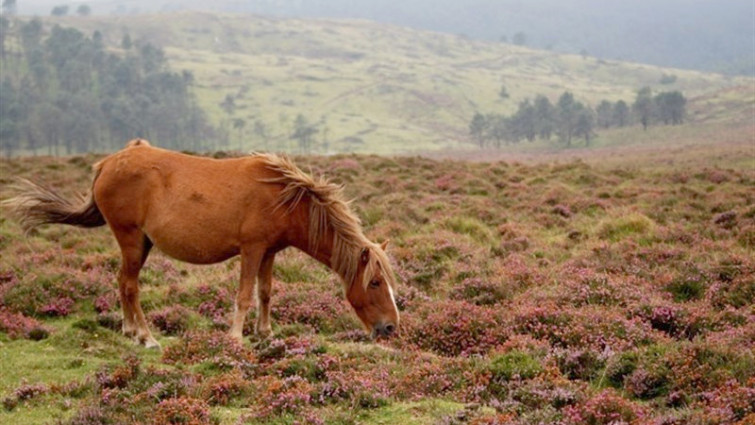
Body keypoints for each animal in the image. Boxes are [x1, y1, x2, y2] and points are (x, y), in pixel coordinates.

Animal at [4, 139, 402, 348]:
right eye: (375, 282)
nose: (390, 328)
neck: (284, 197)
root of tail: (107, 164)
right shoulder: (251, 249)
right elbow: (244, 295)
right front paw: (236, 338)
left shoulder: (270, 252)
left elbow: (266, 293)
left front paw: (265, 334)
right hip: (130, 239)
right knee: (130, 286)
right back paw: (146, 337)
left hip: (140, 244)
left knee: (120, 283)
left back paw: (130, 331)